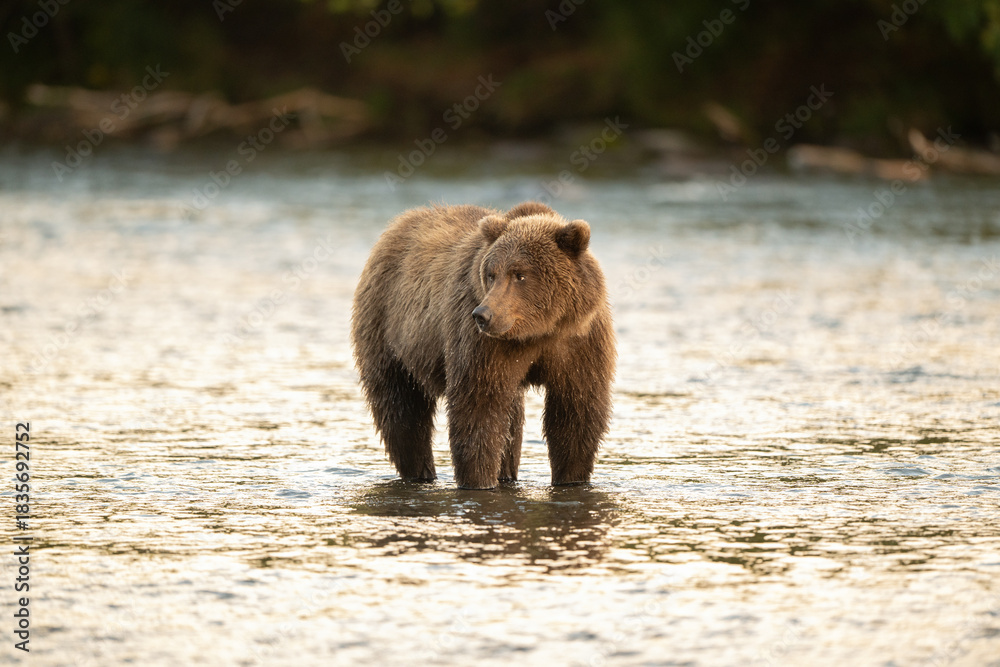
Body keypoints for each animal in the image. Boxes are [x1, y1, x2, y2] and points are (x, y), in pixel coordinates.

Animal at [350, 201, 615, 489]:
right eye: (491, 274)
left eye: (520, 275)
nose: (482, 314)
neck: (539, 332)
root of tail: (397, 225)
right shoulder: (484, 345)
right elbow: (479, 408)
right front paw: (478, 480)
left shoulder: (579, 341)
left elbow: (575, 412)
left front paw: (571, 478)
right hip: (387, 331)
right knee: (401, 409)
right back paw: (420, 472)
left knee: (511, 419)